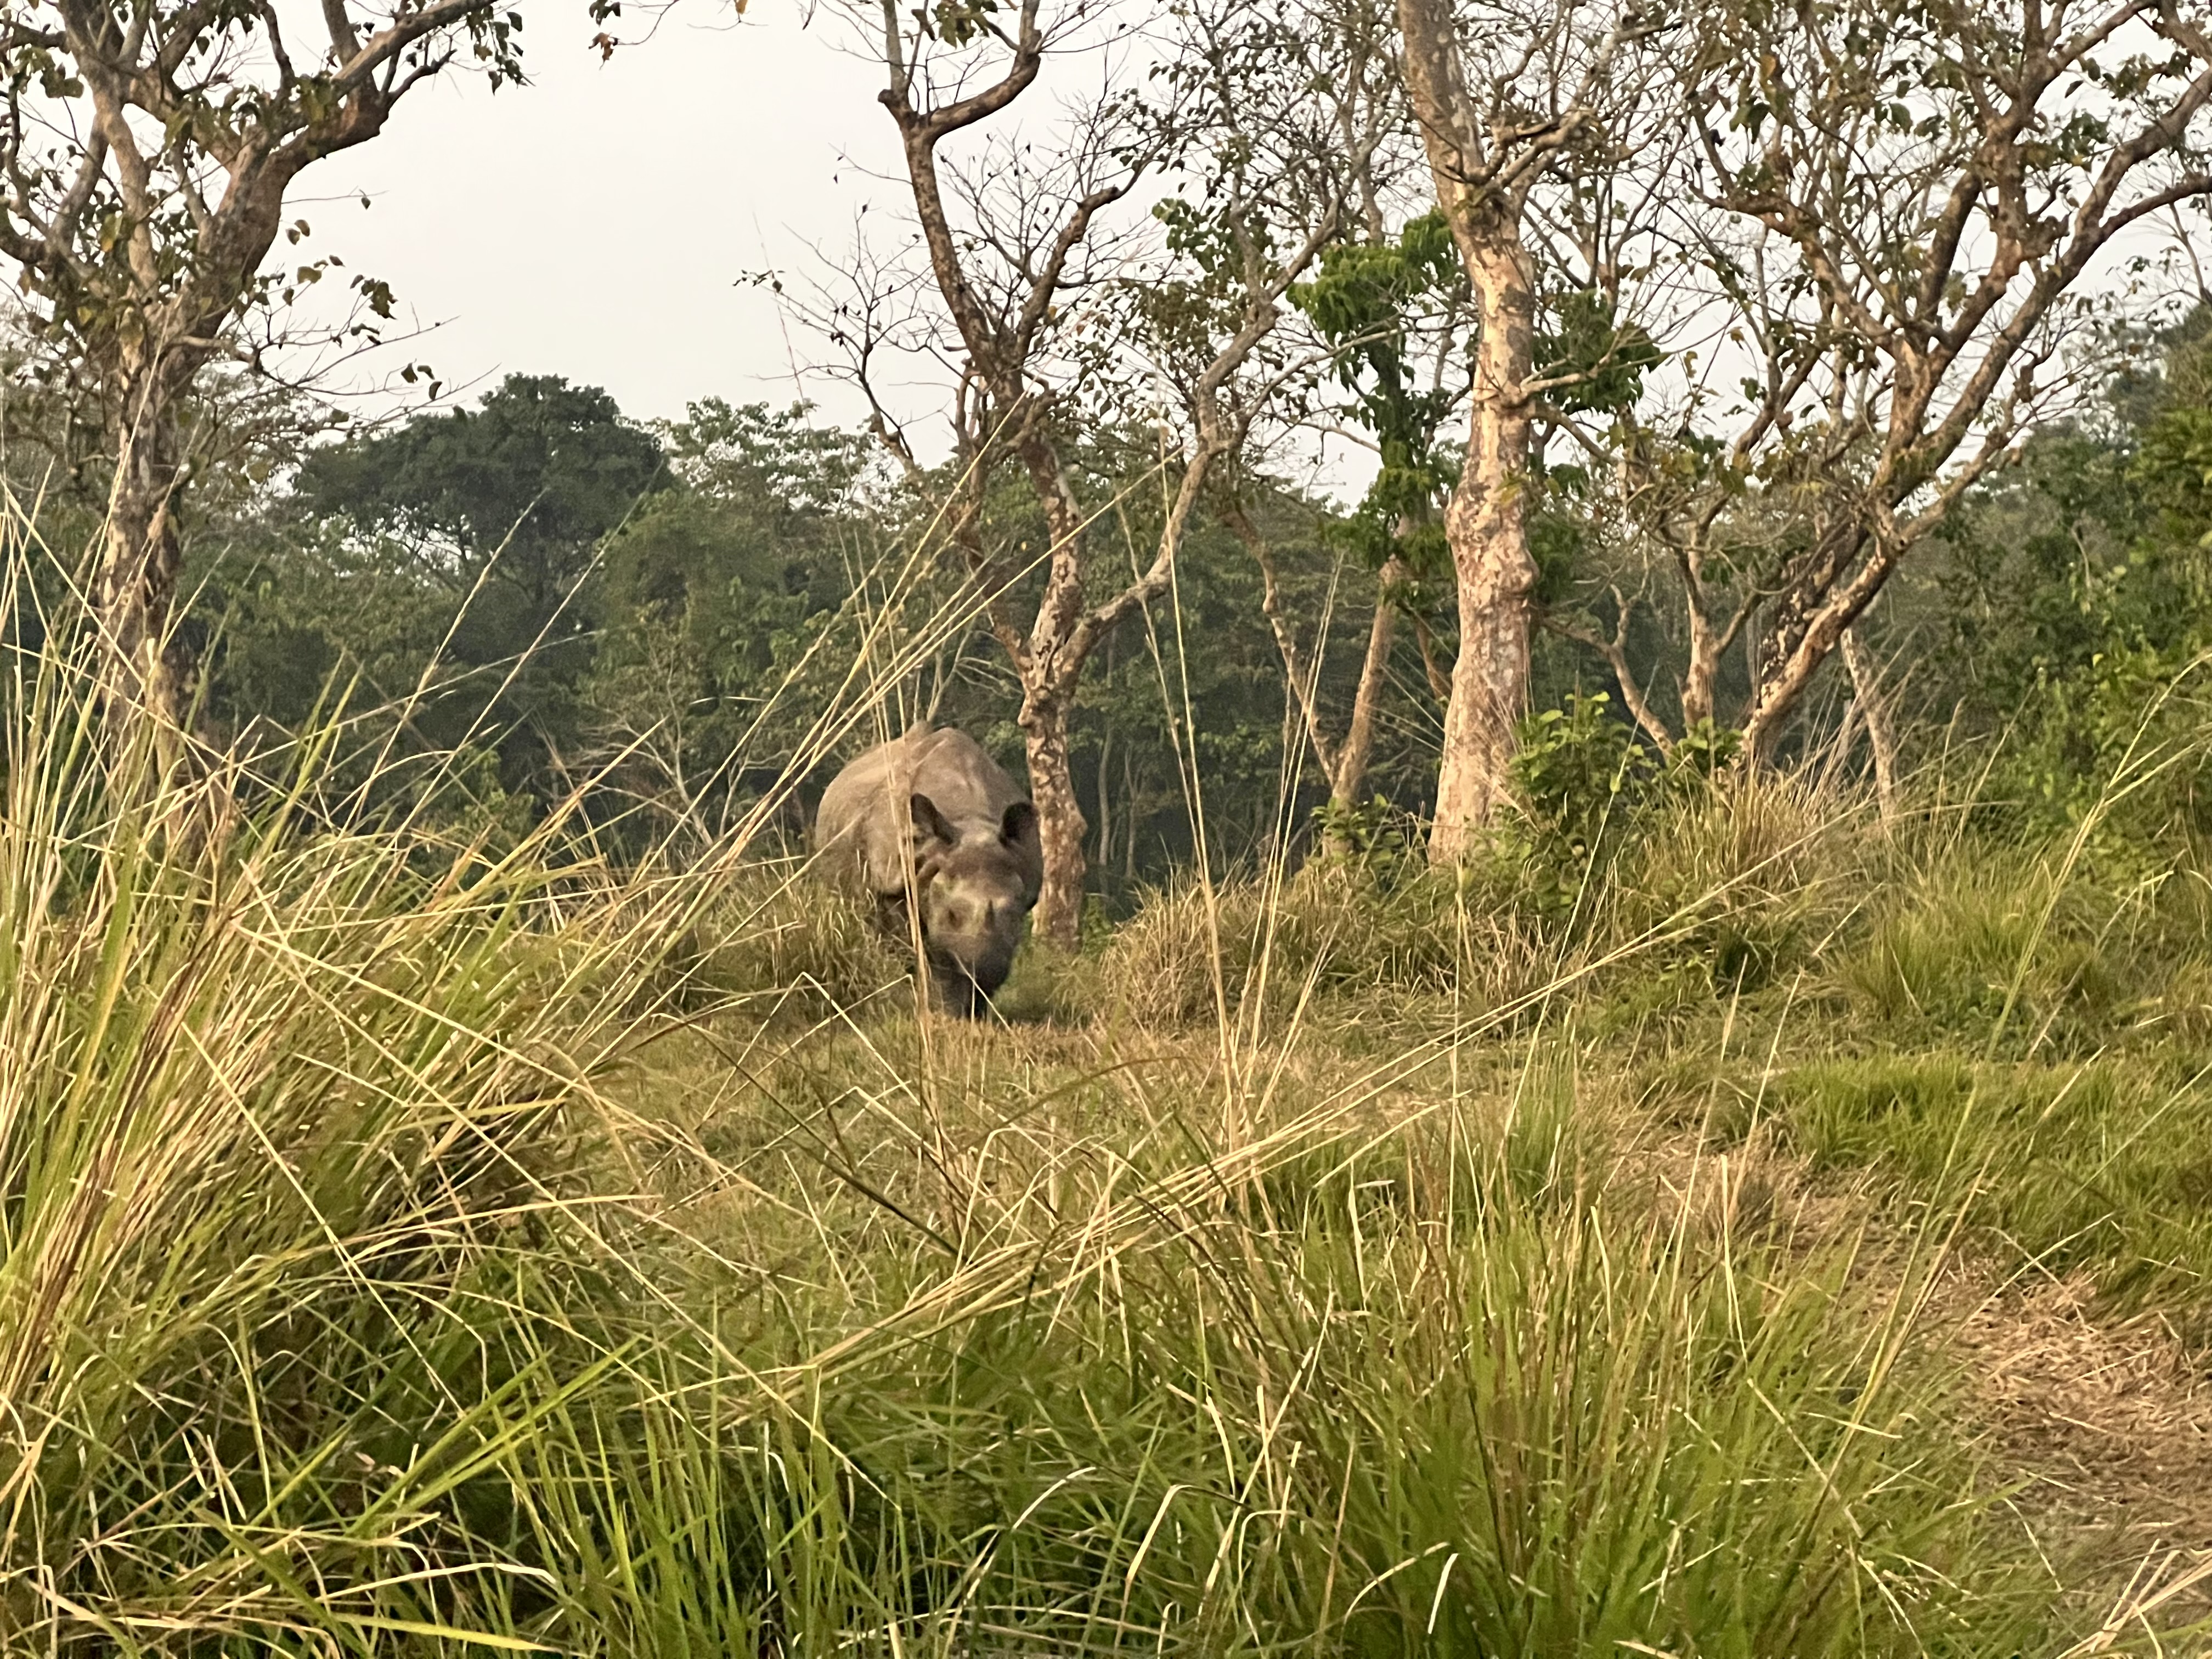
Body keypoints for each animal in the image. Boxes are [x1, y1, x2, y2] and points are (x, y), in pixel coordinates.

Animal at [814, 725, 1044, 1022]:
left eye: (1016, 915)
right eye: (952, 915)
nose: (986, 969)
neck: (971, 820)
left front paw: (977, 1015)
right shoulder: (897, 884)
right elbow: (930, 956)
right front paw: (944, 1014)